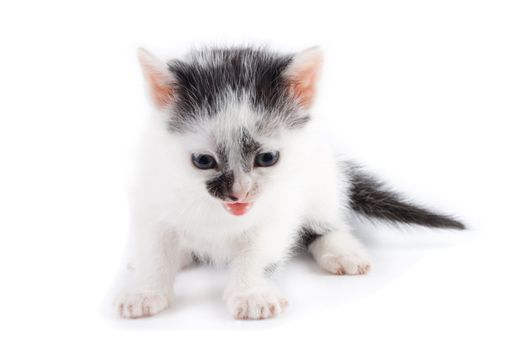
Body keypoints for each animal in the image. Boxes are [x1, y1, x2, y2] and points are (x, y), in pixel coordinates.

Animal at [113, 45, 462, 320]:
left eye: (267, 158)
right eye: (203, 161)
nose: (239, 194)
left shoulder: (279, 207)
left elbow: (260, 248)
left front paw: (251, 293)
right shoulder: (151, 192)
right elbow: (154, 246)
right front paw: (145, 291)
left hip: (323, 177)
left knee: (325, 221)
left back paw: (342, 252)